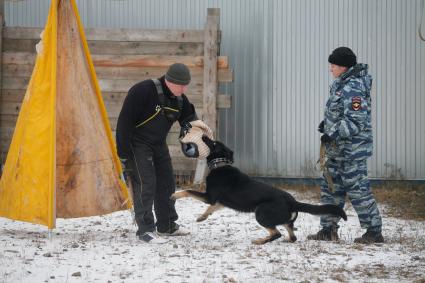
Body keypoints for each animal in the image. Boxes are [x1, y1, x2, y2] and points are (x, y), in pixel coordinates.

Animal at [171, 136, 346, 245]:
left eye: (213, 143)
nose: (203, 136)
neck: (220, 165)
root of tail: (293, 201)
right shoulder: (220, 201)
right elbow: (211, 208)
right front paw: (202, 217)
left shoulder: (209, 196)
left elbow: (188, 191)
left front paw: (174, 195)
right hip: (285, 220)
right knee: (292, 236)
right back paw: (284, 240)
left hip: (260, 213)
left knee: (276, 233)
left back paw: (259, 241)